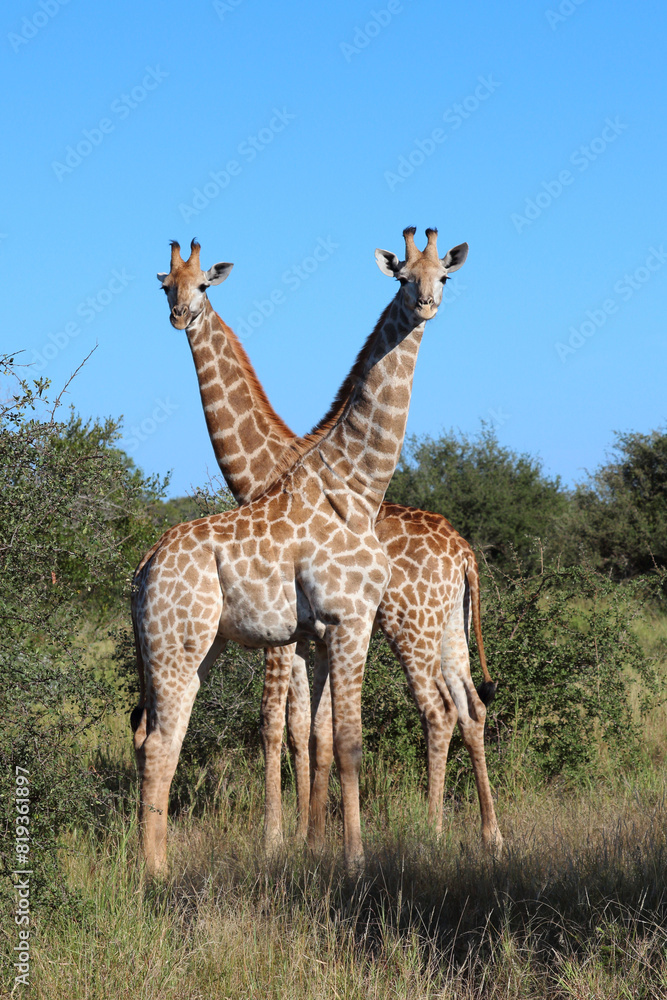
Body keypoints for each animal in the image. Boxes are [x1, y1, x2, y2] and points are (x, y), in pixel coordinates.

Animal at [148, 233, 502, 858]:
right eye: (168, 285)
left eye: (204, 286)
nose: (179, 315)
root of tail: (463, 552)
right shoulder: (313, 632)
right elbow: (309, 732)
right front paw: (307, 837)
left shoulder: (301, 631)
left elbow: (294, 729)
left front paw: (290, 840)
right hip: (441, 628)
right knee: (468, 708)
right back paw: (481, 834)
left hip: (417, 627)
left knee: (442, 711)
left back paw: (446, 832)